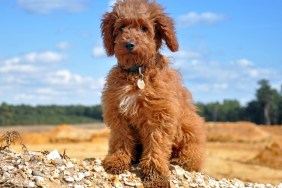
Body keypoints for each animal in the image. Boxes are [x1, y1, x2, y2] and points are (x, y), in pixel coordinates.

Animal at [101, 0, 205, 187]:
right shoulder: (118, 113)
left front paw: (155, 175)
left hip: (190, 131)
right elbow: (121, 138)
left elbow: (156, 145)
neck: (137, 73)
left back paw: (180, 161)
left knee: (192, 157)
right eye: (121, 27)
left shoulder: (160, 116)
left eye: (144, 28)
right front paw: (117, 161)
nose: (129, 44)